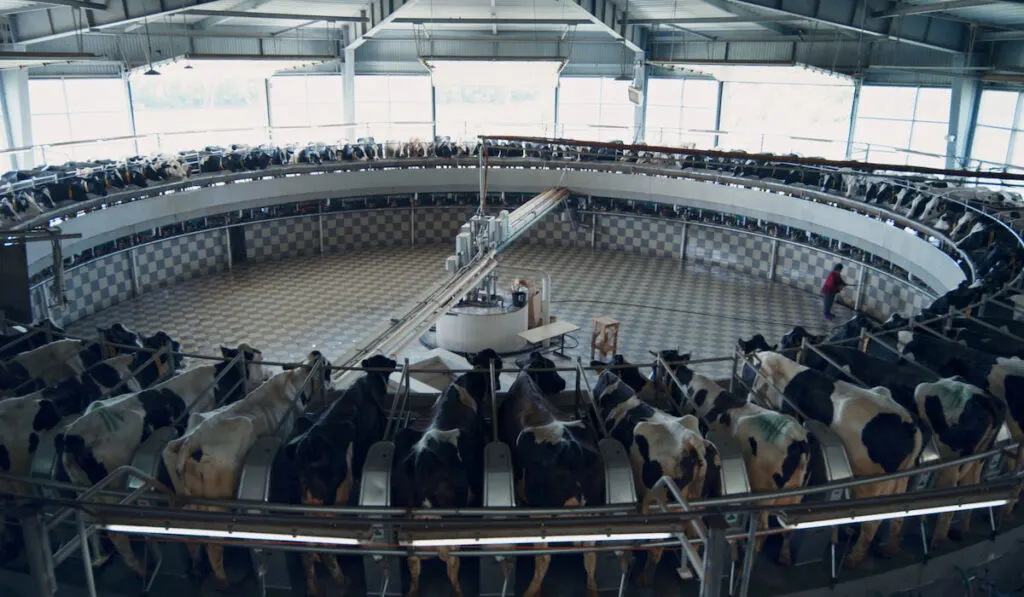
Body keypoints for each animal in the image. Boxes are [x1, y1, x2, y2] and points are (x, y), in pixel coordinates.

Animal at [499, 352, 602, 597]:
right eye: (552, 368)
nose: (563, 382)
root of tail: (571, 447)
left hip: (542, 508)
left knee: (544, 556)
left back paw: (531, 591)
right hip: (595, 503)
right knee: (591, 553)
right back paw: (592, 589)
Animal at [749, 352, 925, 569]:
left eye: (755, 373)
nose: (750, 397)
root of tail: (909, 425)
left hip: (873, 483)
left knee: (872, 521)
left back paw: (854, 558)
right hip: (900, 479)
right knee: (899, 514)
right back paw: (888, 549)